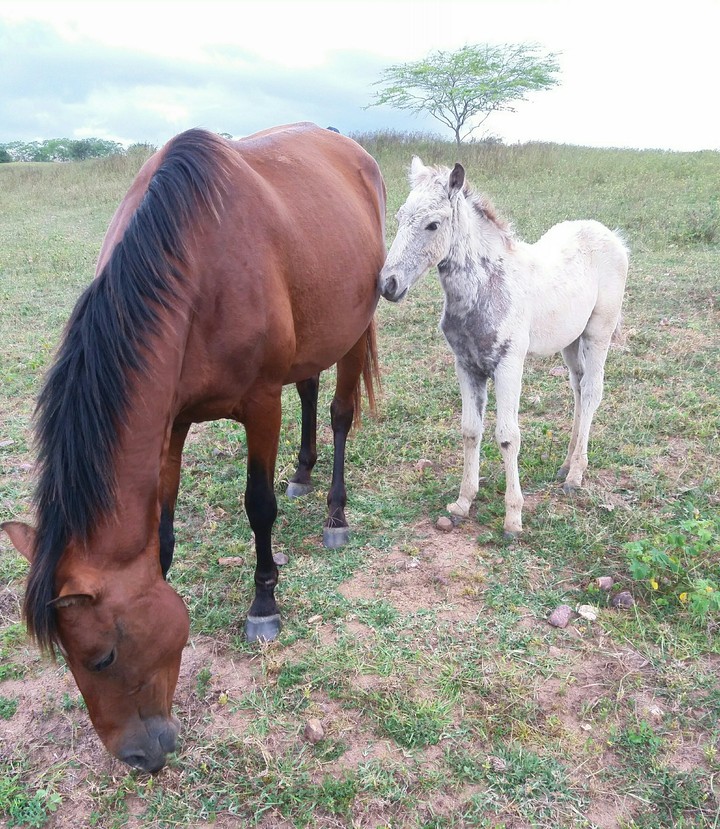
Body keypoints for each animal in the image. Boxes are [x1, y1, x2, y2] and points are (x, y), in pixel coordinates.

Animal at [1, 123, 386, 772]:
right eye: (69, 663)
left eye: (102, 656)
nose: (135, 757)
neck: (194, 268)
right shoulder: (172, 419)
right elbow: (162, 526)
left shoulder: (260, 403)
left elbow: (259, 506)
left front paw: (264, 604)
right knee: (309, 388)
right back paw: (303, 473)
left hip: (354, 329)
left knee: (337, 414)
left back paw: (334, 511)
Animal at [379, 156, 628, 539]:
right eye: (399, 217)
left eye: (433, 224)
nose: (388, 285)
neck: (486, 288)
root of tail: (610, 235)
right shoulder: (466, 365)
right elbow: (470, 431)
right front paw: (462, 503)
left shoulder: (509, 364)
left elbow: (508, 436)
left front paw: (513, 519)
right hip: (570, 341)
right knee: (577, 387)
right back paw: (566, 463)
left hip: (598, 333)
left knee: (591, 392)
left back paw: (575, 476)